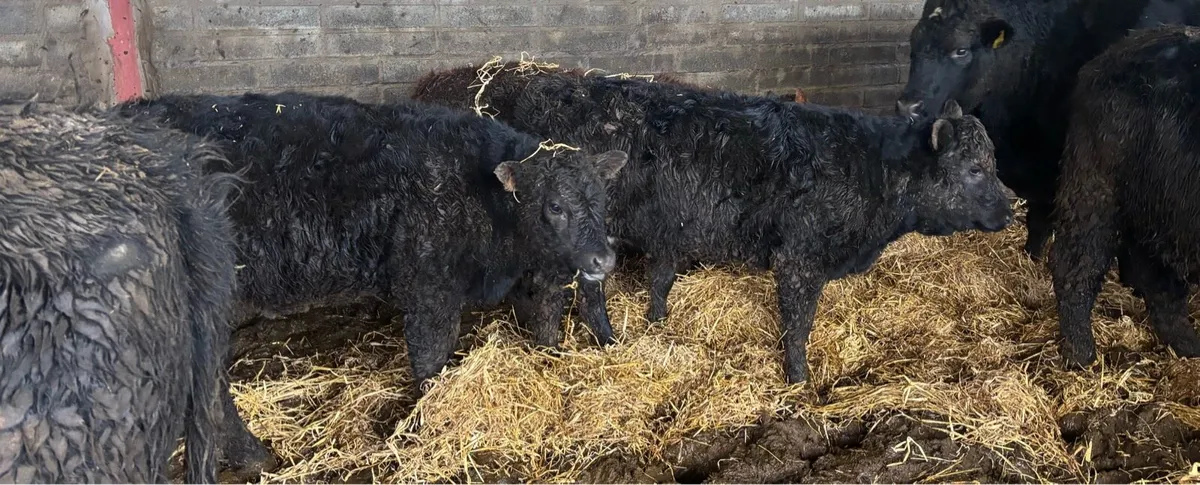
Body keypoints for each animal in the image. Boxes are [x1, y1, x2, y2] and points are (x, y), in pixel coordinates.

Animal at [116, 92, 627, 392]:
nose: (603, 259)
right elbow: (431, 354)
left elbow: (543, 322)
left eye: (603, 198)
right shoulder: (429, 290)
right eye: (555, 205)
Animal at [411, 63, 1014, 383]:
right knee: (570, 292)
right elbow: (798, 326)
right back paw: (586, 342)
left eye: (992, 161)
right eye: (975, 168)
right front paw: (800, 381)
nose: (1010, 208)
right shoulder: (800, 259)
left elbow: (662, 279)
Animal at [1050, 25, 1200, 368]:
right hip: (1096, 191)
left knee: (1159, 280)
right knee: (1074, 264)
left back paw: (1187, 344)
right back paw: (1080, 354)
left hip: (1159, 208)